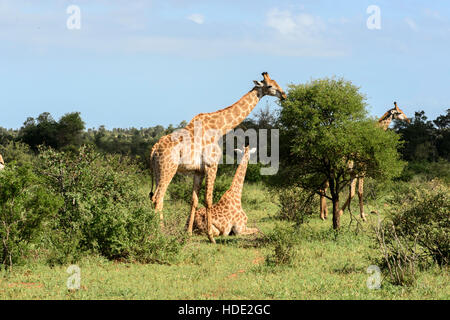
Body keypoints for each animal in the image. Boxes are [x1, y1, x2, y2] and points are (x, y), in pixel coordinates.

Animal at [149, 72, 286, 242]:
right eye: (270, 85)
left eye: (276, 82)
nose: (284, 95)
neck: (219, 128)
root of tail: (154, 149)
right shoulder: (212, 165)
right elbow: (208, 199)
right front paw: (211, 237)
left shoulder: (198, 171)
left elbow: (194, 200)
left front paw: (188, 233)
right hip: (168, 169)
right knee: (158, 198)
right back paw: (160, 233)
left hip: (157, 170)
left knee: (154, 198)